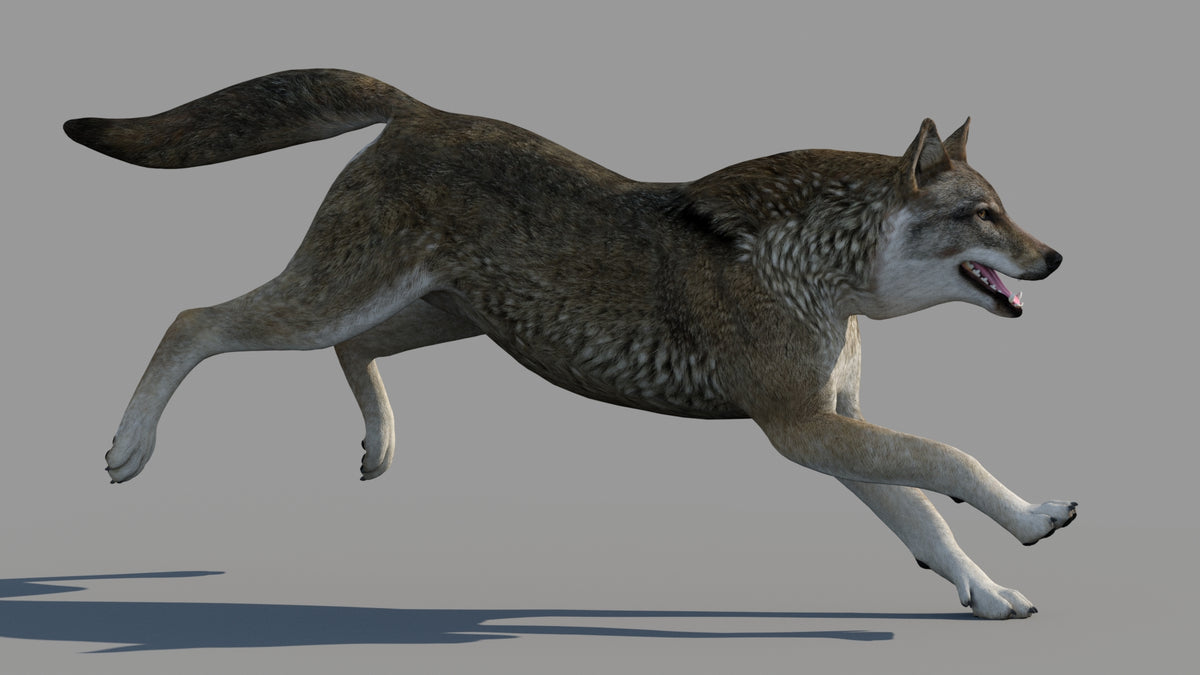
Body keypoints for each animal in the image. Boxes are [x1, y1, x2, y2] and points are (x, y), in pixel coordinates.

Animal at [65, 69, 1073, 619]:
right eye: (983, 214)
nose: (1055, 257)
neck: (824, 272)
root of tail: (419, 110)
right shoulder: (803, 431)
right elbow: (952, 460)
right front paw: (1035, 520)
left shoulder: (834, 429)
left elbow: (927, 517)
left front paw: (988, 592)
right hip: (335, 300)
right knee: (192, 318)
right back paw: (128, 448)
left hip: (434, 317)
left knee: (347, 353)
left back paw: (380, 444)